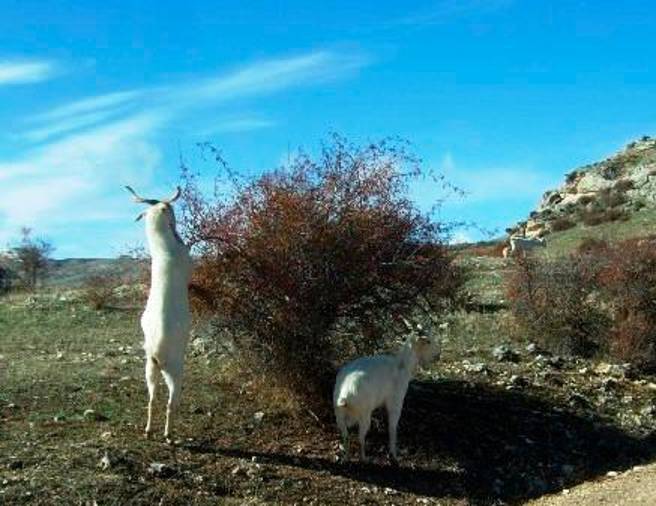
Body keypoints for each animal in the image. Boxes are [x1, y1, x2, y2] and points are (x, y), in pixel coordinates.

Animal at [125, 185, 191, 438]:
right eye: (170, 208)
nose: (175, 224)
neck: (164, 251)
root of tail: (159, 353)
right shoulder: (187, 259)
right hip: (175, 371)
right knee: (171, 403)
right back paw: (168, 435)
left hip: (149, 369)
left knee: (152, 399)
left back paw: (147, 429)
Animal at [336, 318, 444, 464]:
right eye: (428, 341)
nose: (438, 355)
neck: (401, 366)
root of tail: (344, 395)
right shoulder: (396, 402)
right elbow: (392, 428)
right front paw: (393, 455)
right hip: (364, 414)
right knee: (360, 437)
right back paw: (364, 459)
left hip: (339, 415)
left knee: (346, 436)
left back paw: (346, 458)